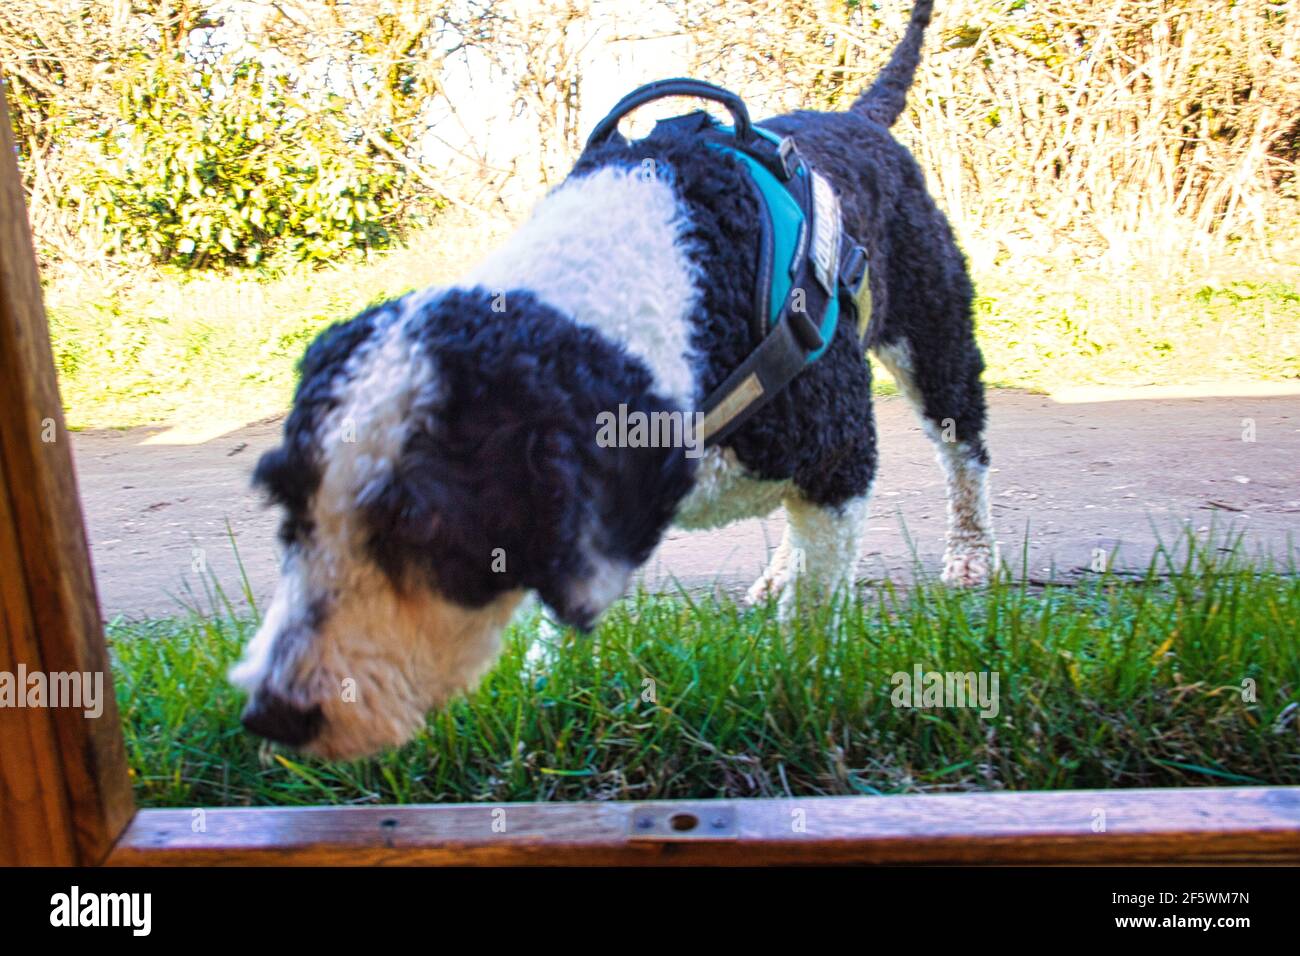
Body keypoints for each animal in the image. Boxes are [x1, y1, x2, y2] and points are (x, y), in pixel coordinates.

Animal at [231, 1, 993, 764]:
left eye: (419, 524)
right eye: (285, 500)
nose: (270, 712)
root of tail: (860, 116)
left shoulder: (840, 452)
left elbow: (810, 613)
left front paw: (804, 698)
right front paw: (547, 691)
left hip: (935, 335)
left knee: (964, 453)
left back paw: (970, 559)